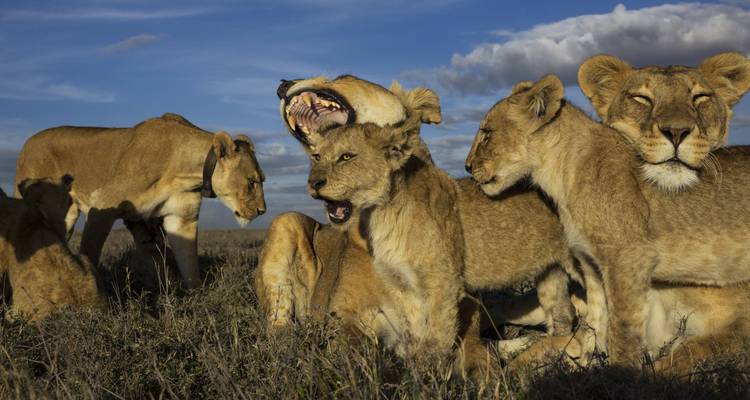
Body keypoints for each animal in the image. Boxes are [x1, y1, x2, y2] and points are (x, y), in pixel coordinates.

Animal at [15, 113, 266, 289]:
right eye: (252, 182)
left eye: (261, 180)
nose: (263, 211)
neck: (184, 173)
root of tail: (27, 143)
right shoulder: (102, 207)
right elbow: (90, 252)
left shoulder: (181, 218)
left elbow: (189, 265)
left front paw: (197, 296)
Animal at [465, 74, 750, 366]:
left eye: (486, 133)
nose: (467, 166)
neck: (560, 173)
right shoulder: (590, 263)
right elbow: (597, 322)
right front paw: (589, 362)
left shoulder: (629, 259)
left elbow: (623, 331)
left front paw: (619, 370)